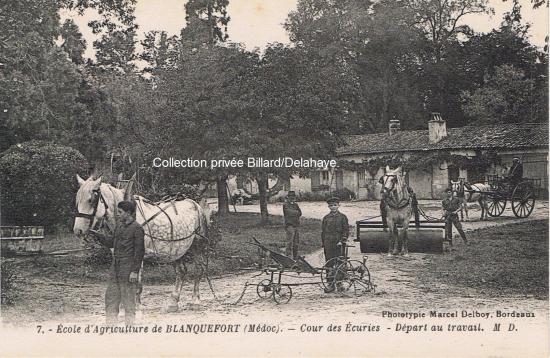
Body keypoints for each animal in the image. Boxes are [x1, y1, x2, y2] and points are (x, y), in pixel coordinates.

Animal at [75, 175, 216, 312]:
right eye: (77, 201)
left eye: (91, 200)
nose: (78, 231)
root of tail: (195, 204)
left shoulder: (138, 254)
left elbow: (136, 282)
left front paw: (136, 306)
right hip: (177, 250)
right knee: (181, 271)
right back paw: (173, 303)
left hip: (198, 245)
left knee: (198, 270)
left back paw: (195, 301)